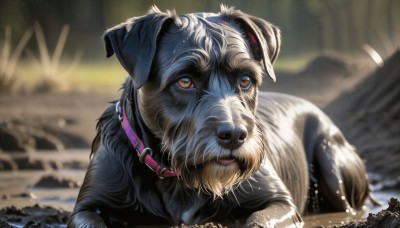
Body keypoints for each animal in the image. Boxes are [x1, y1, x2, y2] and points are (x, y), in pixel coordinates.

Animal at [67, 6, 370, 227]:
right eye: (185, 80)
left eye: (246, 80)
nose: (234, 135)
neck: (178, 178)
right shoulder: (86, 208)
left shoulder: (280, 203)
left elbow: (258, 220)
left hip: (331, 162)